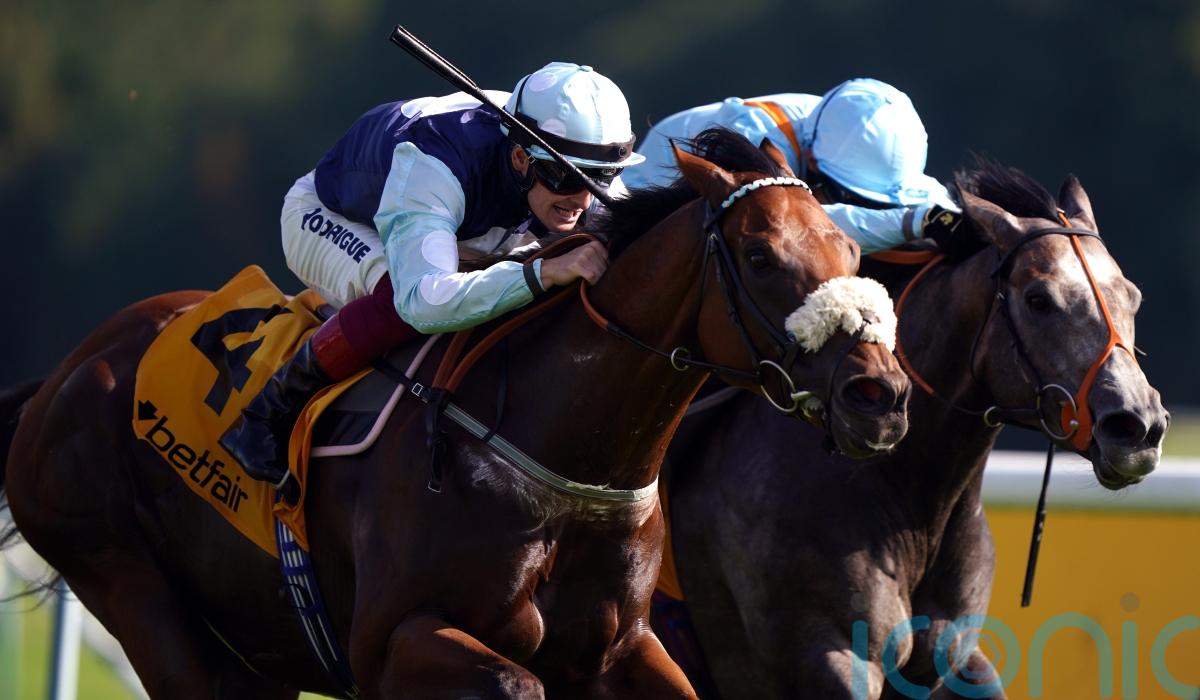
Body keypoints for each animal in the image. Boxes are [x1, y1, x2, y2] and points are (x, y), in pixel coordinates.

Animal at [0, 129, 911, 699]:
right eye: (760, 256)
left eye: (852, 249)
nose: (882, 398)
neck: (565, 458)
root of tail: (68, 373)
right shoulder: (389, 644)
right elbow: (514, 679)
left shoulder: (622, 649)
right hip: (128, 585)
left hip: (255, 646)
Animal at [658, 161, 1168, 699]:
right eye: (1038, 299)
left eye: (1132, 297)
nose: (1137, 426)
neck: (915, 507)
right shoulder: (826, 655)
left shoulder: (949, 657)